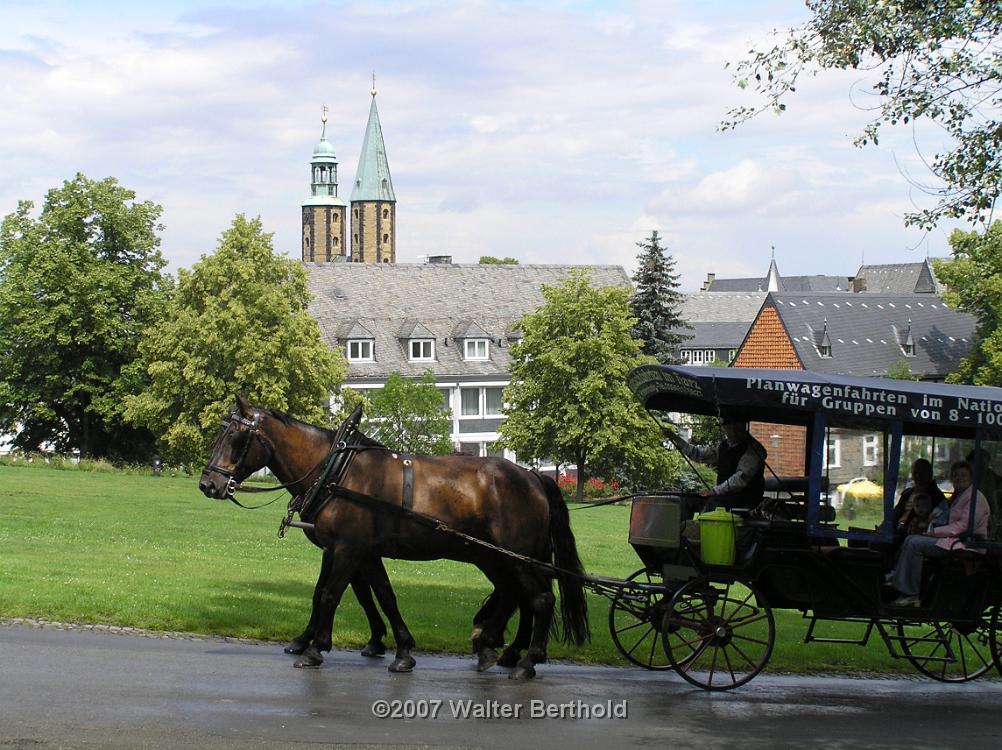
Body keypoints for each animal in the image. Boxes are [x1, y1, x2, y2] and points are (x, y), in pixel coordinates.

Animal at [197, 398, 585, 676]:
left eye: (236, 438)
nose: (208, 484)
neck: (336, 472)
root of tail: (533, 476)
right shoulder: (359, 552)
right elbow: (379, 595)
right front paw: (400, 649)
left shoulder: (348, 548)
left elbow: (330, 594)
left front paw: (315, 648)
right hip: (494, 556)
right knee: (513, 595)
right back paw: (492, 645)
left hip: (516, 556)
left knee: (539, 600)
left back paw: (525, 660)